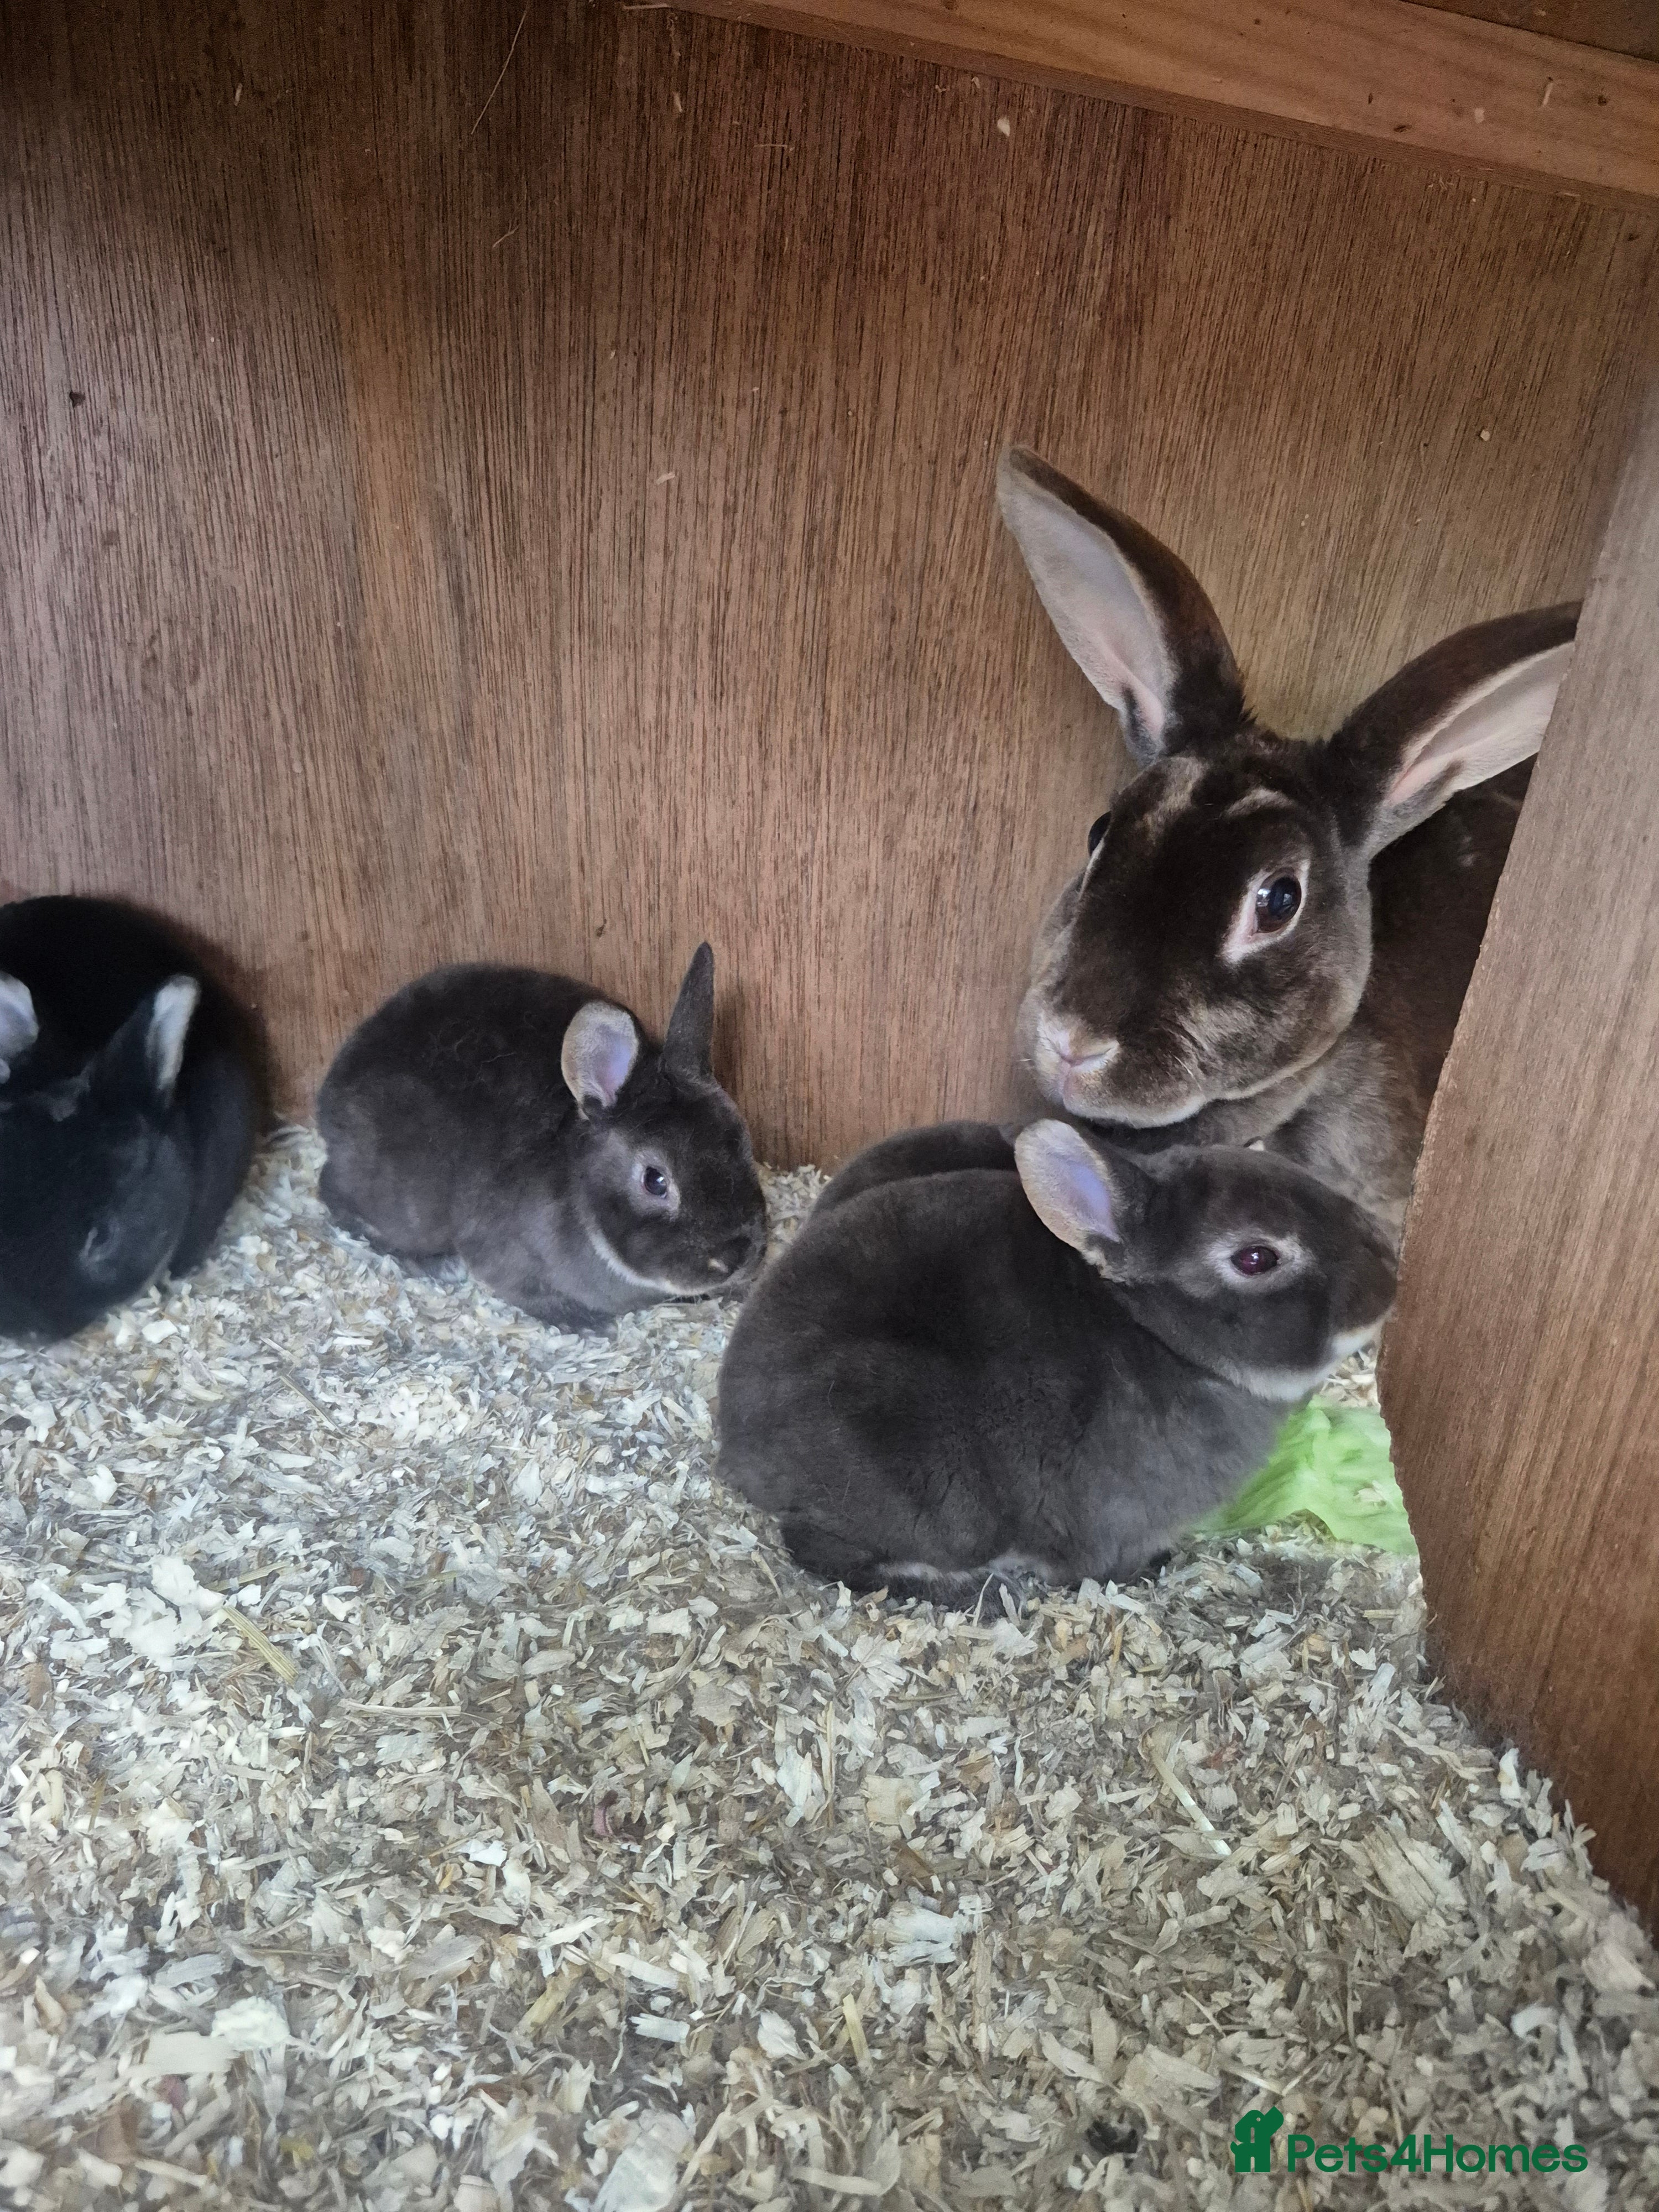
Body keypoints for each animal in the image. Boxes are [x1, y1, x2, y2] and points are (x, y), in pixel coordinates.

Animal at [316, 943, 768, 1330]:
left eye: (742, 1142)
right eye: (655, 1181)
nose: (735, 1258)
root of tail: (329, 1098)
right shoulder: (501, 1256)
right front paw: (583, 1323)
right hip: (406, 1204)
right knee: (333, 1193)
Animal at [717, 1116, 1396, 1606]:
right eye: (1257, 1258)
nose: (1390, 1279)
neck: (1156, 1335)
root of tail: (737, 1446)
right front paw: (1149, 1568)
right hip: (931, 1486)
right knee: (825, 1551)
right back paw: (972, 1590)